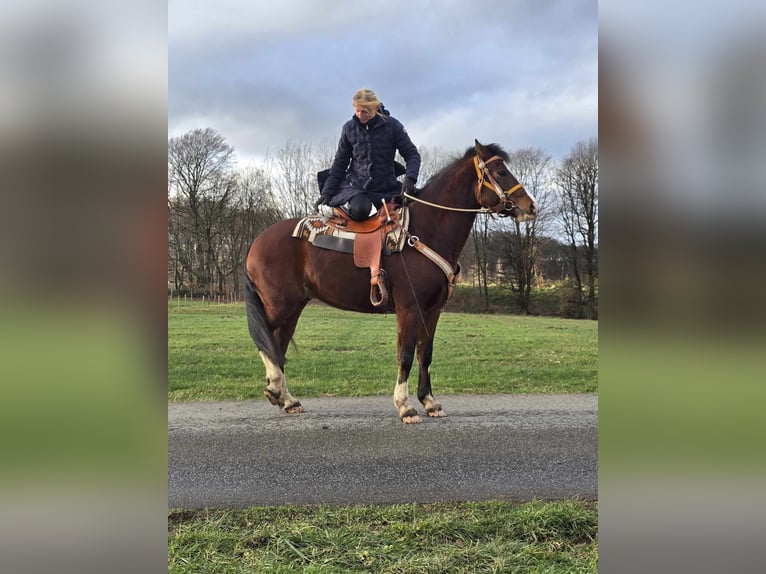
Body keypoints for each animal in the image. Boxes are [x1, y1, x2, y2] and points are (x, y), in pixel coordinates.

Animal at [248, 142, 540, 426]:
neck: (424, 232)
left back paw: (287, 399)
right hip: (279, 307)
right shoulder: (409, 309)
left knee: (277, 345)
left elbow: (425, 355)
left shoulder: (432, 312)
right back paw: (275, 388)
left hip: (293, 307)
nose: (531, 207)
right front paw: (406, 406)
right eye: (501, 172)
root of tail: (258, 241)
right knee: (266, 342)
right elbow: (406, 355)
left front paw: (430, 403)